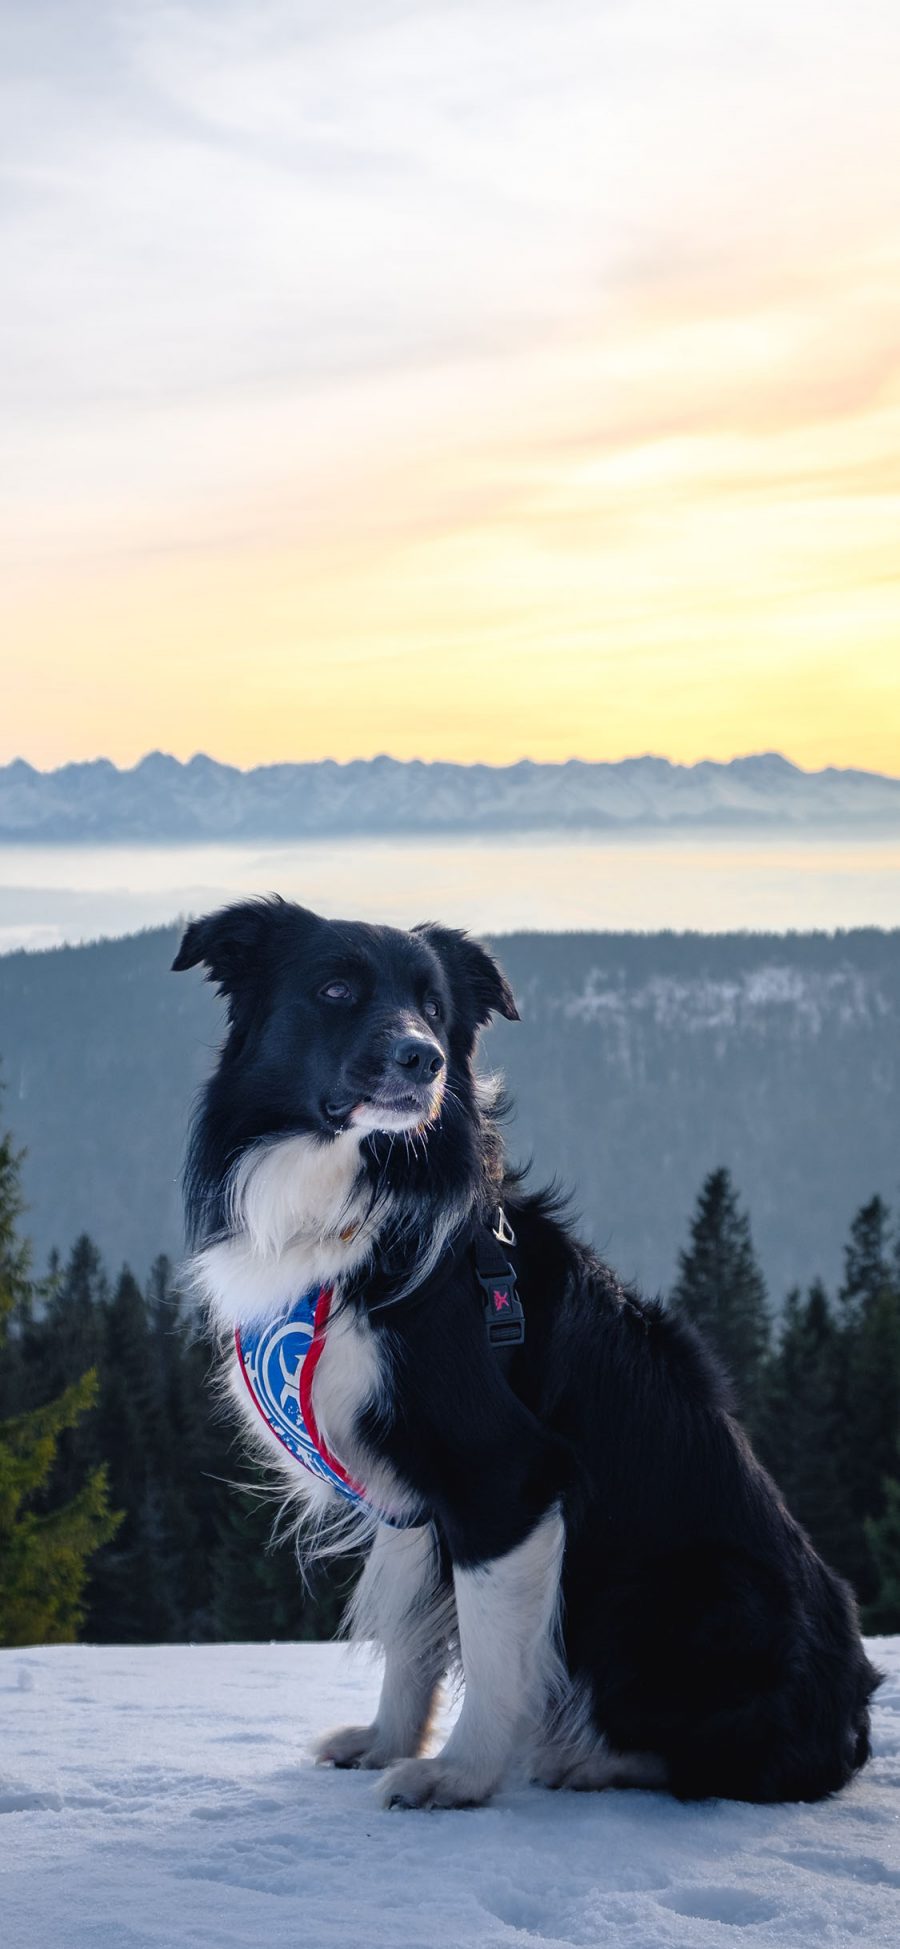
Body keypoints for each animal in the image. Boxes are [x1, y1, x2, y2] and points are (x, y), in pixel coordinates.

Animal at [172, 896, 876, 1808]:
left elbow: (495, 1647)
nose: (424, 1058)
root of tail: (852, 1719)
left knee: (724, 1756)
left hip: (691, 1594)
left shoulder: (506, 1474)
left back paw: (592, 1758)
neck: (360, 1208)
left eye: (434, 1006)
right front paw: (386, 1740)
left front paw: (458, 1774)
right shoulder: (411, 1496)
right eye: (335, 989)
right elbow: (412, 1635)